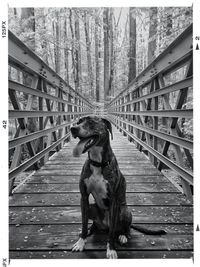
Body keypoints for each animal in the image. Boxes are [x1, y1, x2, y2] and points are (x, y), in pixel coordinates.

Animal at [70, 116, 166, 260]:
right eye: (78, 122)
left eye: (91, 122)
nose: (73, 128)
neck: (98, 163)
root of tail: (104, 225)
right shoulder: (84, 197)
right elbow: (83, 222)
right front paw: (81, 242)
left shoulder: (114, 201)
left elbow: (111, 234)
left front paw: (111, 249)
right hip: (92, 207)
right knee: (94, 224)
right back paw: (90, 231)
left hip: (124, 211)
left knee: (124, 228)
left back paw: (123, 236)